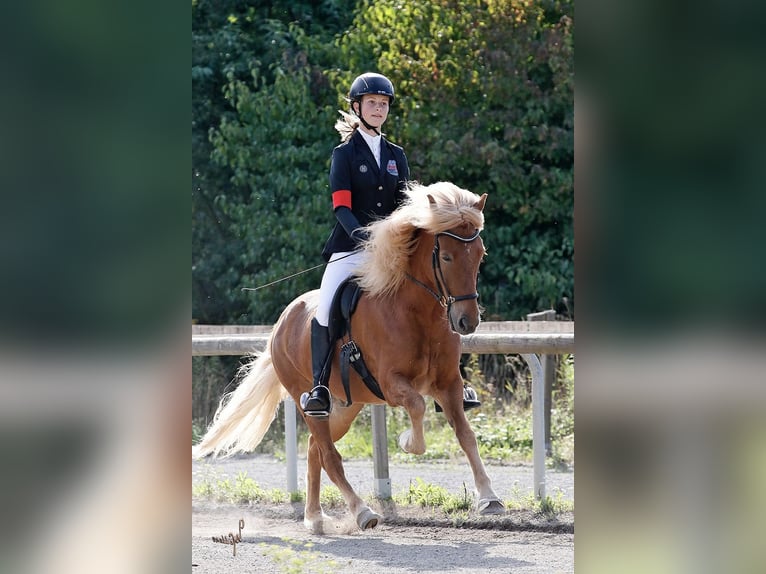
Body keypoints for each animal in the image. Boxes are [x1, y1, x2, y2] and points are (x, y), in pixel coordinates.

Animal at [194, 181, 505, 532]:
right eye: (448, 257)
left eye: (479, 255)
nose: (467, 322)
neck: (417, 313)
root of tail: (282, 321)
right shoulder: (392, 383)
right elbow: (417, 406)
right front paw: (408, 442)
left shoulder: (449, 384)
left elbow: (466, 435)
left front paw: (489, 498)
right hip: (307, 400)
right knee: (329, 455)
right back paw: (362, 512)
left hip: (345, 406)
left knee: (316, 450)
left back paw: (315, 517)